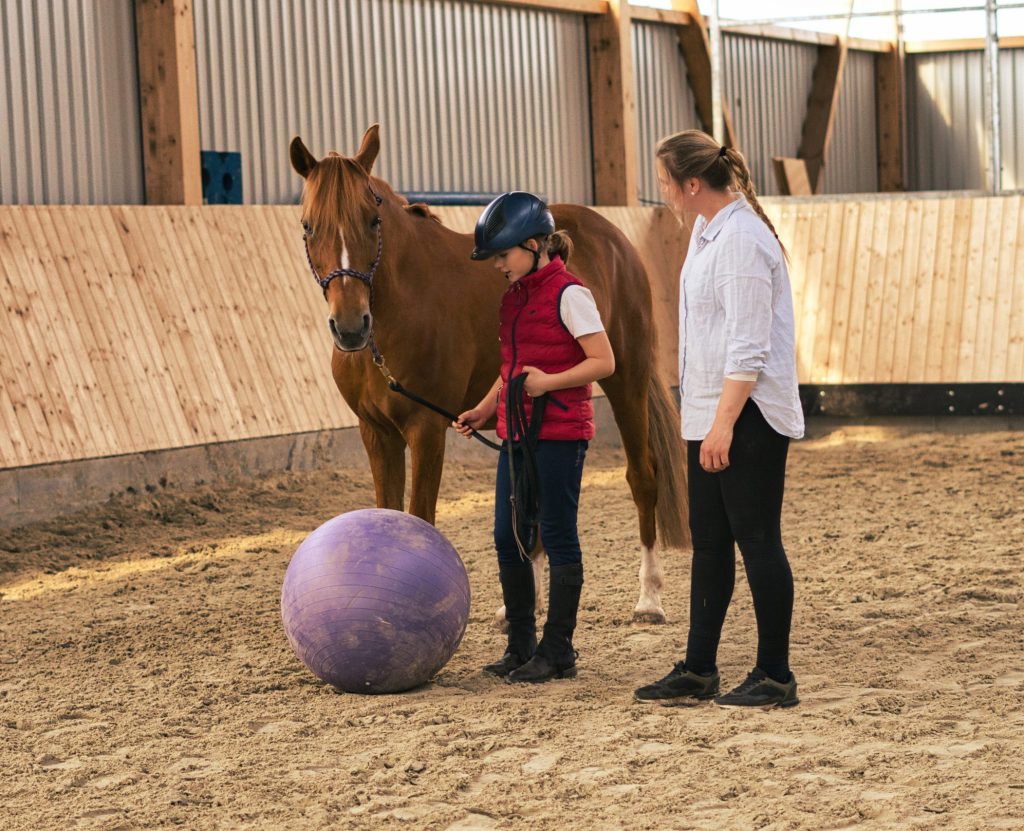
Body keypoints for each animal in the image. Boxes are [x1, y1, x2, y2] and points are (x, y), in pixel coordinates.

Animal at [288, 124, 688, 622]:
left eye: (372, 220)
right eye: (308, 225)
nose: (350, 327)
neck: (398, 307)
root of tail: (613, 236)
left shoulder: (426, 428)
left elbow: (419, 518)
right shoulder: (375, 433)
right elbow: (388, 514)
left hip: (626, 378)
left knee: (642, 477)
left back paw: (649, 598)